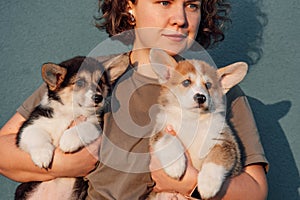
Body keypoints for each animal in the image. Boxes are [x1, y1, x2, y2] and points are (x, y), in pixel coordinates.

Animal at [14, 56, 110, 200]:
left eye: (101, 82)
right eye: (80, 82)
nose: (99, 97)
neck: (70, 112)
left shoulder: (97, 124)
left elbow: (85, 126)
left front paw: (67, 141)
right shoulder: (30, 126)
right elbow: (36, 135)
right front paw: (42, 155)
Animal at [149, 48, 247, 200]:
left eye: (208, 85)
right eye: (186, 82)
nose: (200, 97)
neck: (193, 120)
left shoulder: (225, 142)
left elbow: (216, 158)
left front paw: (208, 184)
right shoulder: (161, 129)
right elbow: (168, 139)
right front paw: (175, 165)